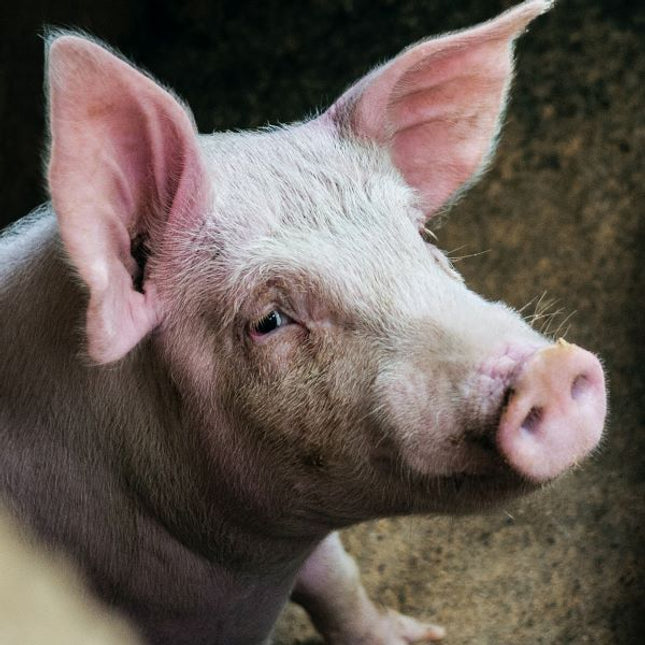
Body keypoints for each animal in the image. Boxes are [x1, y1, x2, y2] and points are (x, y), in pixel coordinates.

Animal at [0, 0, 606, 643]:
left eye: (422, 236)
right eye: (269, 319)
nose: (549, 369)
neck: (247, 575)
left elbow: (337, 578)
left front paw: (424, 635)